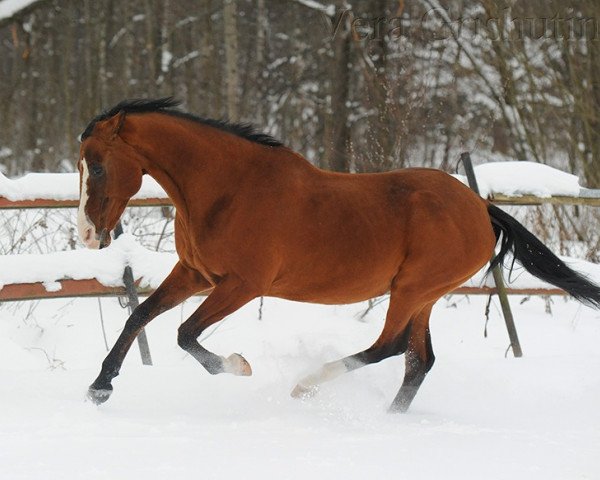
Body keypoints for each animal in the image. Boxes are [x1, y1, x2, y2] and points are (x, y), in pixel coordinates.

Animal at [78, 98, 600, 412]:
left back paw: (306, 386)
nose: (86, 235)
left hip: (412, 289)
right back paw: (388, 418)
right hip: (425, 295)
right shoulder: (194, 273)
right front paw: (99, 388)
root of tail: (480, 207)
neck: (228, 189)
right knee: (418, 361)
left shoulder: (243, 284)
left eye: (98, 166)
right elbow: (140, 315)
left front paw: (238, 365)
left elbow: (185, 333)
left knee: (391, 347)